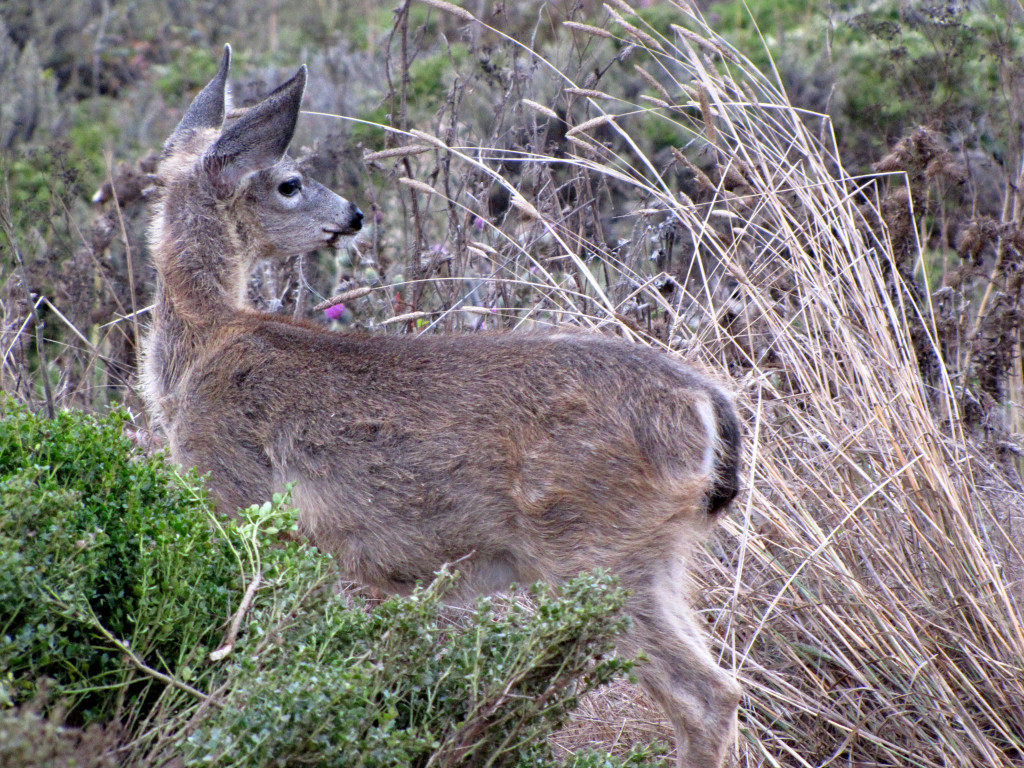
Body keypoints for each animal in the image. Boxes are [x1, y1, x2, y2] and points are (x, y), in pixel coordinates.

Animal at [138, 46, 745, 768]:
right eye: (290, 183)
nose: (354, 214)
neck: (205, 340)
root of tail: (707, 403)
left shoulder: (241, 499)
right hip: (655, 554)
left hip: (597, 547)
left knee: (704, 696)